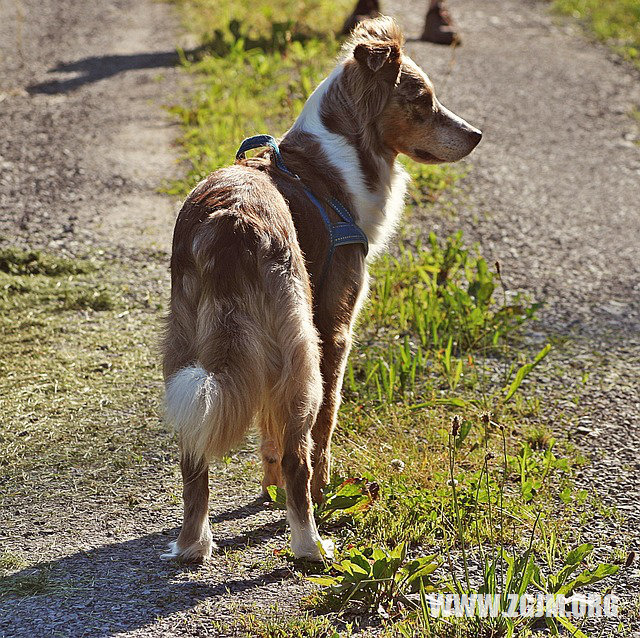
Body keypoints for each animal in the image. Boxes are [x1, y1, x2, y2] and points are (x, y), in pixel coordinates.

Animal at [160, 16, 480, 564]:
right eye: (422, 100)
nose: (477, 135)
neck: (336, 160)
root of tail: (229, 226)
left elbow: (267, 434)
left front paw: (266, 491)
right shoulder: (335, 329)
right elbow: (324, 427)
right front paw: (323, 490)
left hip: (190, 352)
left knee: (194, 454)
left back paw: (193, 546)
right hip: (301, 351)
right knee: (298, 452)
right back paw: (311, 544)